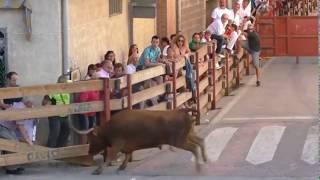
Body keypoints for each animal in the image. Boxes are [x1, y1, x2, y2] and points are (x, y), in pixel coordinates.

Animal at [70, 108, 208, 174]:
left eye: (91, 139)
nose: (89, 152)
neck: (109, 128)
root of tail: (181, 110)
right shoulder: (126, 146)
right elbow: (127, 155)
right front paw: (122, 166)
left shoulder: (116, 145)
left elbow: (109, 157)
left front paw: (98, 170)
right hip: (188, 136)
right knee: (200, 141)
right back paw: (205, 160)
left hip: (179, 140)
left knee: (194, 148)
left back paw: (198, 167)